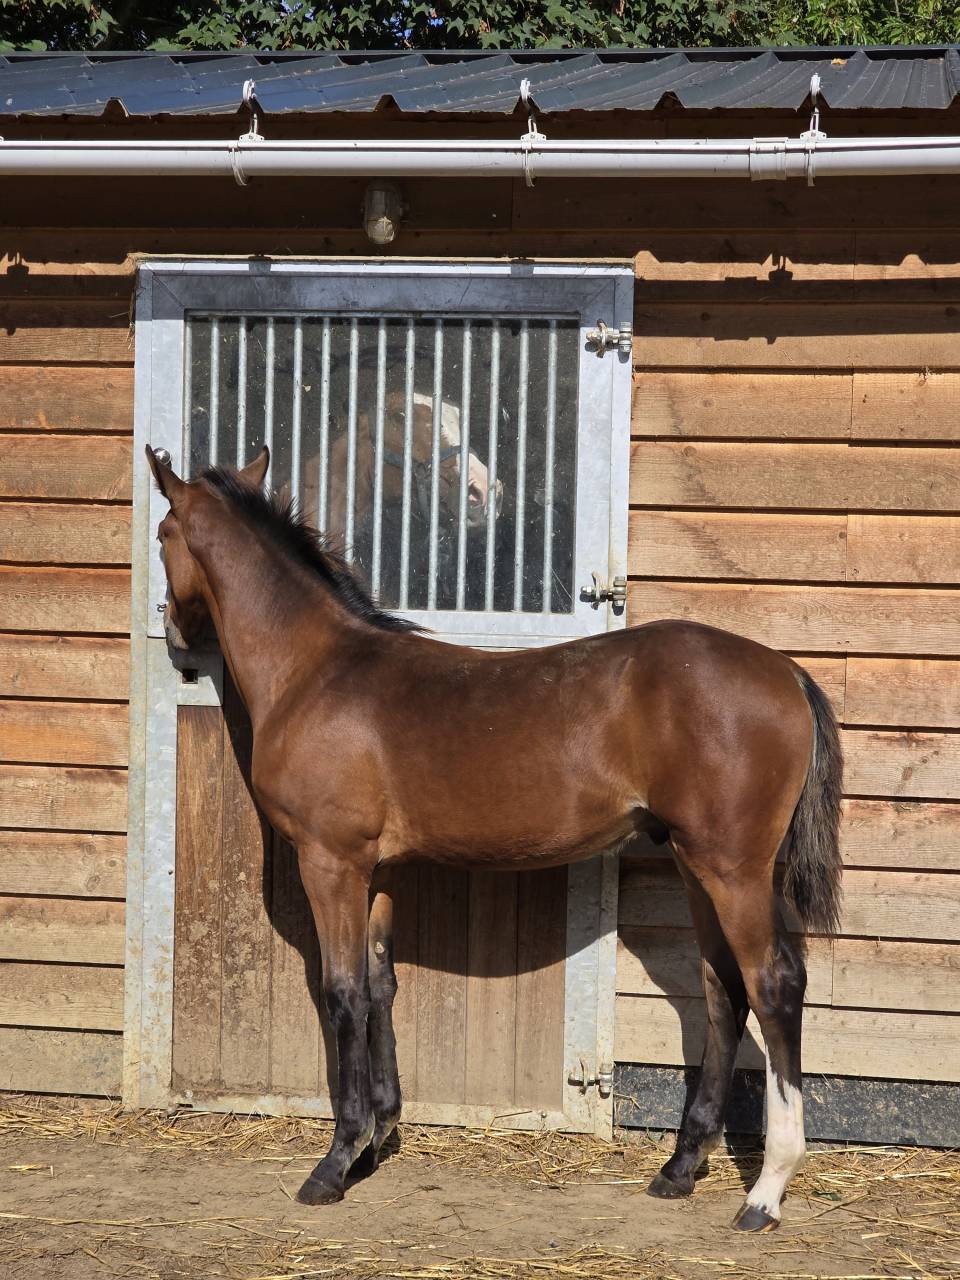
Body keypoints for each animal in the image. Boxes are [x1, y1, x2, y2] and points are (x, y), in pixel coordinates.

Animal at [146, 444, 842, 1233]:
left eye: (163, 535)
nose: (177, 638)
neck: (316, 672)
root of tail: (785, 672)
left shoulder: (332, 863)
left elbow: (343, 992)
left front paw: (336, 1159)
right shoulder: (379, 872)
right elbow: (382, 985)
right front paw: (379, 1137)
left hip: (733, 869)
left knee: (772, 983)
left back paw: (766, 1191)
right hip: (699, 866)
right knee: (722, 987)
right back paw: (681, 1167)